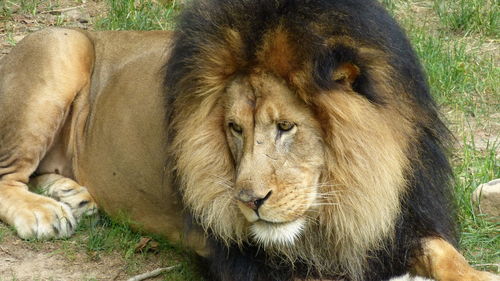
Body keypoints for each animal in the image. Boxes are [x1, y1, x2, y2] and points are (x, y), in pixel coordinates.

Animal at [0, 0, 498, 280]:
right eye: (234, 128)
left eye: (286, 127)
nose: (249, 201)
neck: (348, 196)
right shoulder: (246, 260)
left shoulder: (400, 221)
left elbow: (444, 252)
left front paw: (479, 274)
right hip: (59, 47)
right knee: (8, 175)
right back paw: (45, 213)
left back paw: (72, 194)